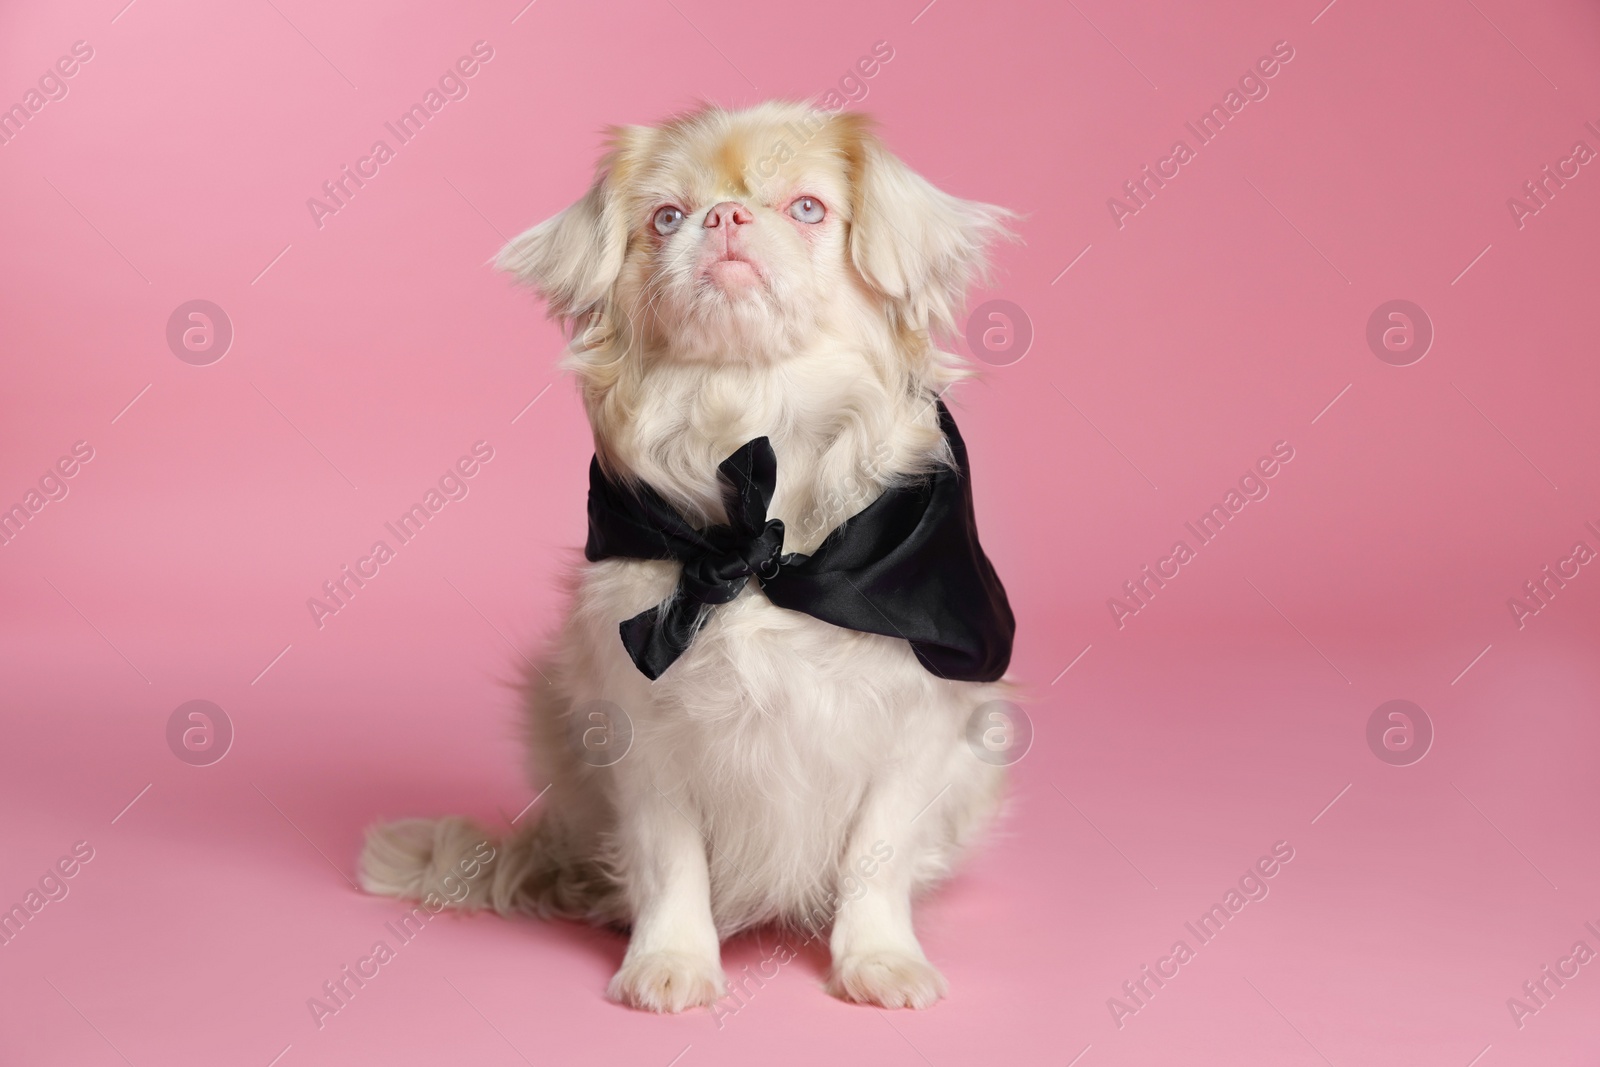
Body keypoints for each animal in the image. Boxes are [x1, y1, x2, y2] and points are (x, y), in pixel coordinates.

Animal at [360, 103, 1011, 1017]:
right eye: (667, 218)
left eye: (807, 209)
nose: (725, 216)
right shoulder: (645, 734)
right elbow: (671, 861)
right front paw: (670, 963)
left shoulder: (913, 724)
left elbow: (874, 858)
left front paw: (879, 960)